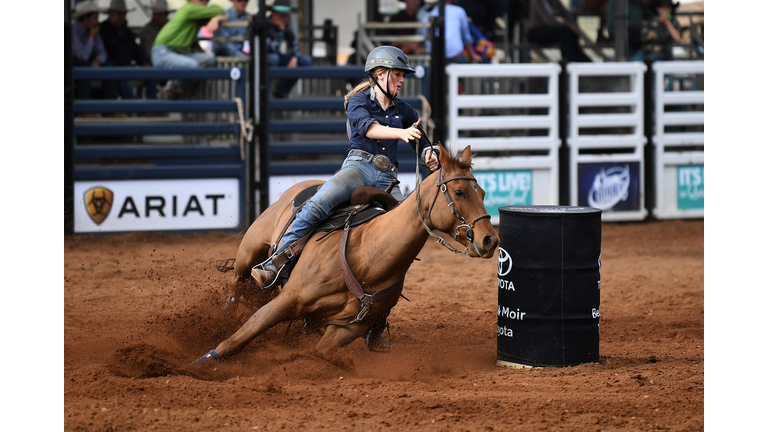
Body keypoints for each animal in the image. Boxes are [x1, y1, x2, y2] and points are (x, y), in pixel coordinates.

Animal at [204, 144, 500, 362]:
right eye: (459, 192)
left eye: (484, 192)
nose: (490, 239)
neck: (367, 255)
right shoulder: (288, 300)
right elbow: (241, 335)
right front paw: (203, 362)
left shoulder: (349, 328)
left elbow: (324, 352)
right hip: (250, 250)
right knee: (238, 281)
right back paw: (229, 311)